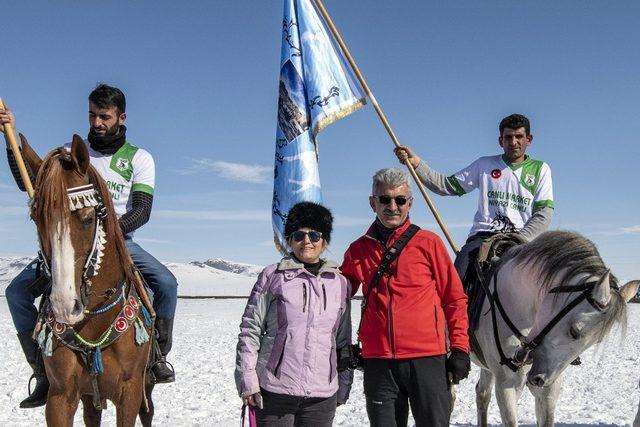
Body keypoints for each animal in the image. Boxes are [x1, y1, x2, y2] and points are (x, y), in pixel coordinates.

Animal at [21, 135, 155, 427]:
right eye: (37, 219)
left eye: (89, 218)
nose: (63, 306)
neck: (94, 324)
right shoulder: (60, 396)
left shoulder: (130, 392)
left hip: (146, 386)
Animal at [470, 232, 640, 426]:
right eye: (574, 331)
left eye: (598, 340)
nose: (539, 379)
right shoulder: (507, 384)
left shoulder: (549, 388)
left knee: (482, 393)